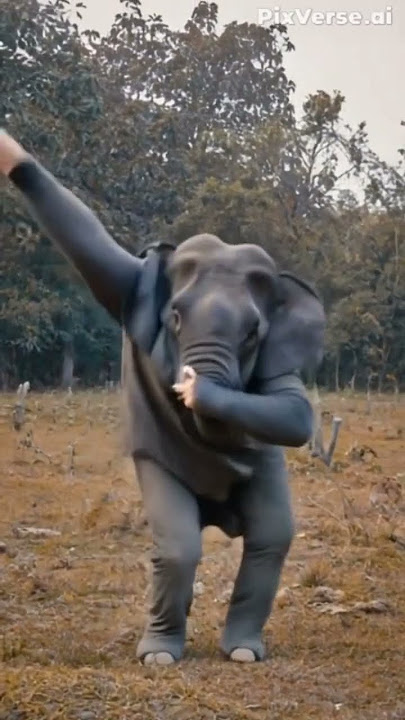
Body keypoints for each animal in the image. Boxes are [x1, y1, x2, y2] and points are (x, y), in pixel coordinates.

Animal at [1, 132, 325, 665]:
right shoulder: (127, 284)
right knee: (179, 546)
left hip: (267, 471)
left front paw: (199, 390)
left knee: (271, 538)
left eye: (253, 333)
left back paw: (242, 651)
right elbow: (87, 242)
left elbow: (296, 413)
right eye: (173, 316)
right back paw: (161, 652)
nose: (188, 381)